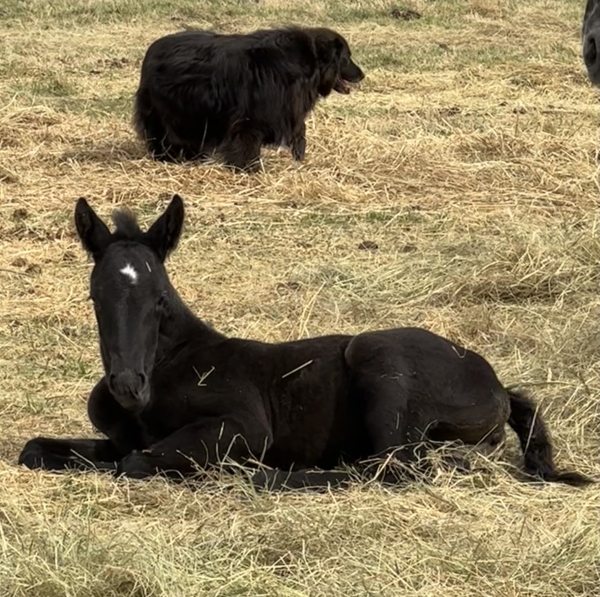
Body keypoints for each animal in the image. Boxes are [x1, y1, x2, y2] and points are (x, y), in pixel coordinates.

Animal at [18, 195, 593, 490]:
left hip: (378, 362)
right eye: (95, 296)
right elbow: (38, 451)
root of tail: (497, 386)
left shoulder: (244, 425)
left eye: (160, 299)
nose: (127, 387)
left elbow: (136, 463)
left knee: (392, 467)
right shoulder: (117, 438)